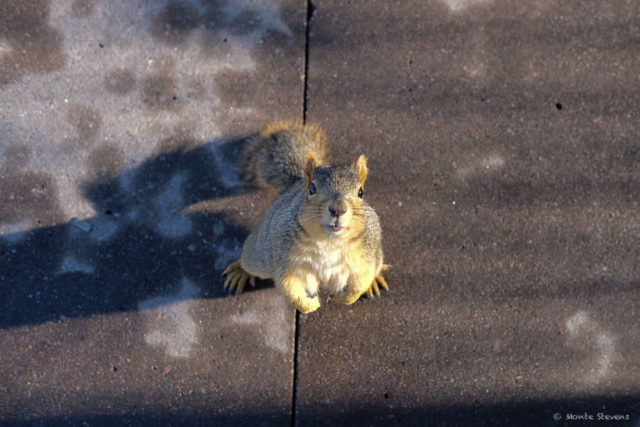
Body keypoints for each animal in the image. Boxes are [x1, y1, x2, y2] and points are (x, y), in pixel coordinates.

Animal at [220, 121, 390, 314]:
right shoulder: (286, 261)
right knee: (250, 261)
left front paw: (344, 298)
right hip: (260, 255)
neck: (330, 241)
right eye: (313, 189)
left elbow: (360, 283)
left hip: (377, 256)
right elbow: (289, 288)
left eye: (361, 192)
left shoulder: (364, 257)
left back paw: (375, 280)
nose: (338, 209)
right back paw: (240, 270)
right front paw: (310, 305)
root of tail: (297, 183)